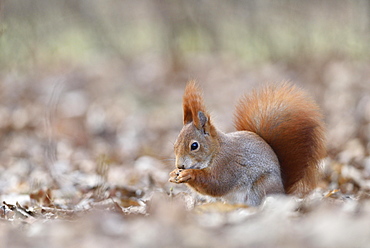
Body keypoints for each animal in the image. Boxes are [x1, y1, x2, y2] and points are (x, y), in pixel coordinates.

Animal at [169, 81, 326, 205]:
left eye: (194, 146)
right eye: (175, 145)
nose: (180, 165)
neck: (216, 150)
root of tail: (282, 191)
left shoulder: (228, 165)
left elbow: (216, 183)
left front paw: (188, 174)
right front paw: (174, 173)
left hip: (261, 187)